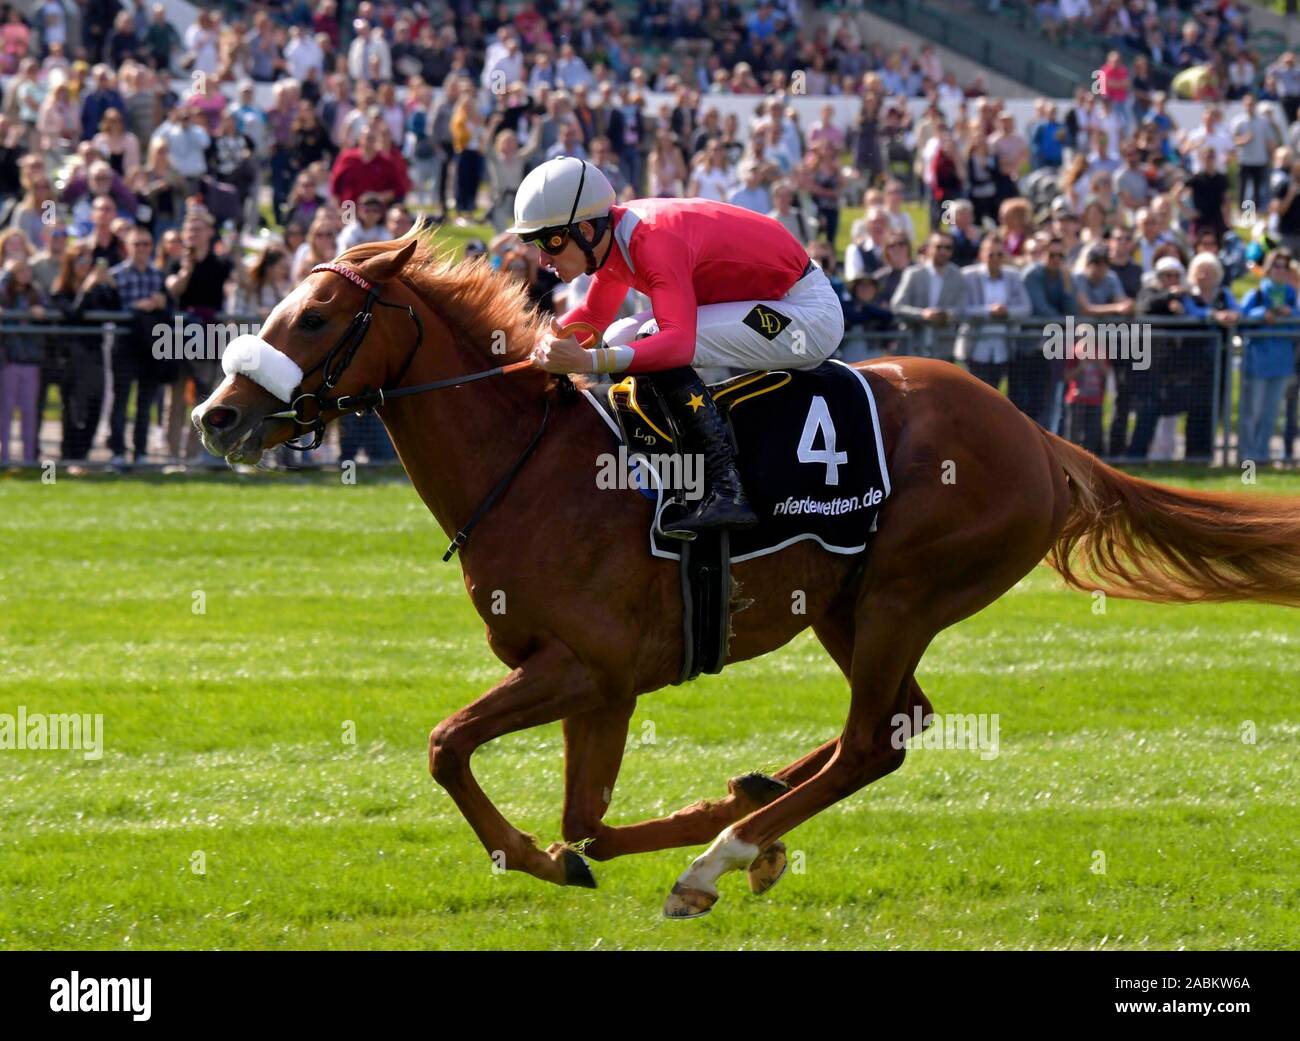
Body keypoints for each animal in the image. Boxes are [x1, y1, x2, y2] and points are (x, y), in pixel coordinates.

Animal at [192, 231, 1300, 914]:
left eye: (317, 317)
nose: (218, 415)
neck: (532, 461)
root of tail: (1035, 432)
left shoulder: (588, 667)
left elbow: (449, 748)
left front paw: (554, 858)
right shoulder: (599, 686)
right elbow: (586, 821)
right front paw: (676, 829)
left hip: (902, 592)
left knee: (871, 744)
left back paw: (719, 856)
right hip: (850, 605)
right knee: (895, 724)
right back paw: (748, 818)